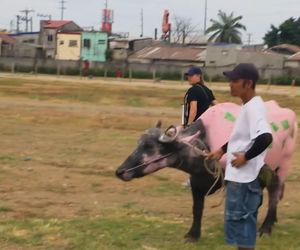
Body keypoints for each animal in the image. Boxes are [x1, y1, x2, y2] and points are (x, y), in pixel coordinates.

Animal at [115, 100, 298, 241]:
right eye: (139, 143)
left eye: (149, 146)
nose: (120, 171)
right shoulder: (196, 183)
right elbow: (197, 209)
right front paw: (193, 235)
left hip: (282, 166)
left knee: (274, 193)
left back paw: (267, 226)